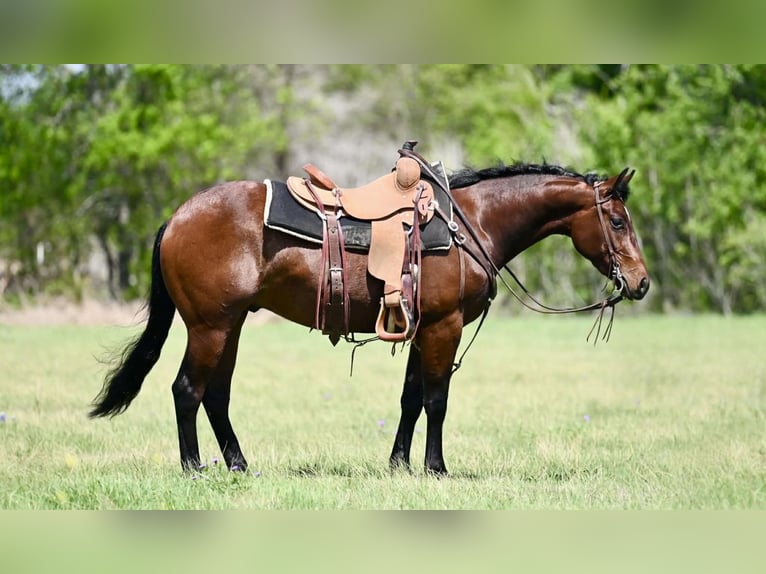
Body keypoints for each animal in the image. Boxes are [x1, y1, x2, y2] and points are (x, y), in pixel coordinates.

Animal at [89, 152, 649, 476]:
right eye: (618, 221)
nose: (641, 282)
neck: (471, 224)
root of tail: (177, 217)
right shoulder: (443, 327)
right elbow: (437, 400)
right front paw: (436, 468)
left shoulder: (422, 329)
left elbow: (411, 399)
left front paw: (400, 465)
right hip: (210, 326)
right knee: (187, 390)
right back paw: (193, 469)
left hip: (230, 326)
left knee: (215, 396)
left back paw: (239, 465)